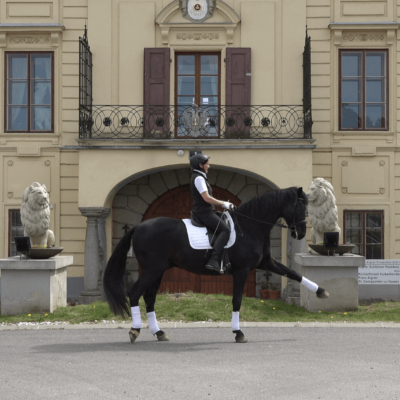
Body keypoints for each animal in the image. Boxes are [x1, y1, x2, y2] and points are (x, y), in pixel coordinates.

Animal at [103, 186, 328, 342]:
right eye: (301, 206)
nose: (301, 233)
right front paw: (238, 333)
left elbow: (294, 273)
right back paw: (135, 330)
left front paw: (321, 291)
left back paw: (159, 333)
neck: (250, 225)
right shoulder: (242, 271)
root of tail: (138, 227)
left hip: (158, 271)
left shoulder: (267, 263)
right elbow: (237, 300)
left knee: (149, 298)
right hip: (152, 270)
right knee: (134, 293)